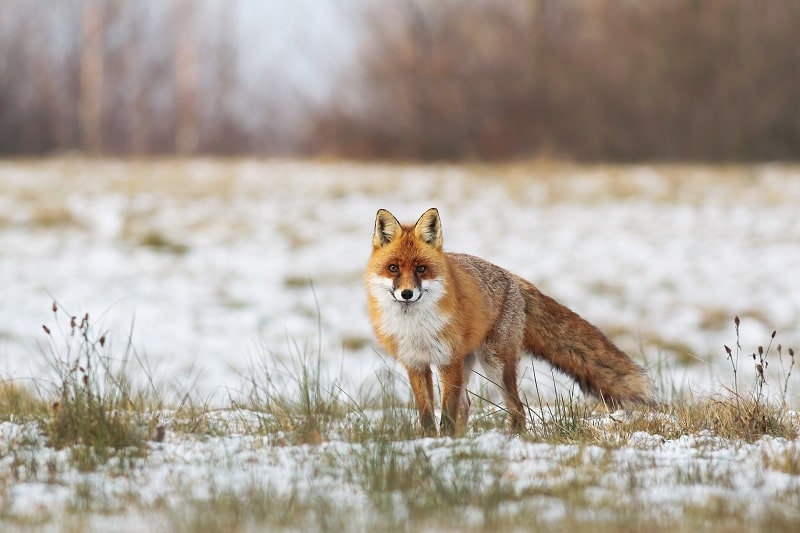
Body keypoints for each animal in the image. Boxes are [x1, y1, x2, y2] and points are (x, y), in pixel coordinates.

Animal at [366, 206, 652, 434]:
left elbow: (446, 413)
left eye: (421, 269)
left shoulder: (448, 361)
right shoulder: (415, 363)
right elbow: (426, 414)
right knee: (467, 407)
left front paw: (443, 443)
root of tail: (513, 278)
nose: (406, 293)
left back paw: (512, 439)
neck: (416, 328)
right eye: (393, 268)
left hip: (495, 363)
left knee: (517, 408)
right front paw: (429, 442)